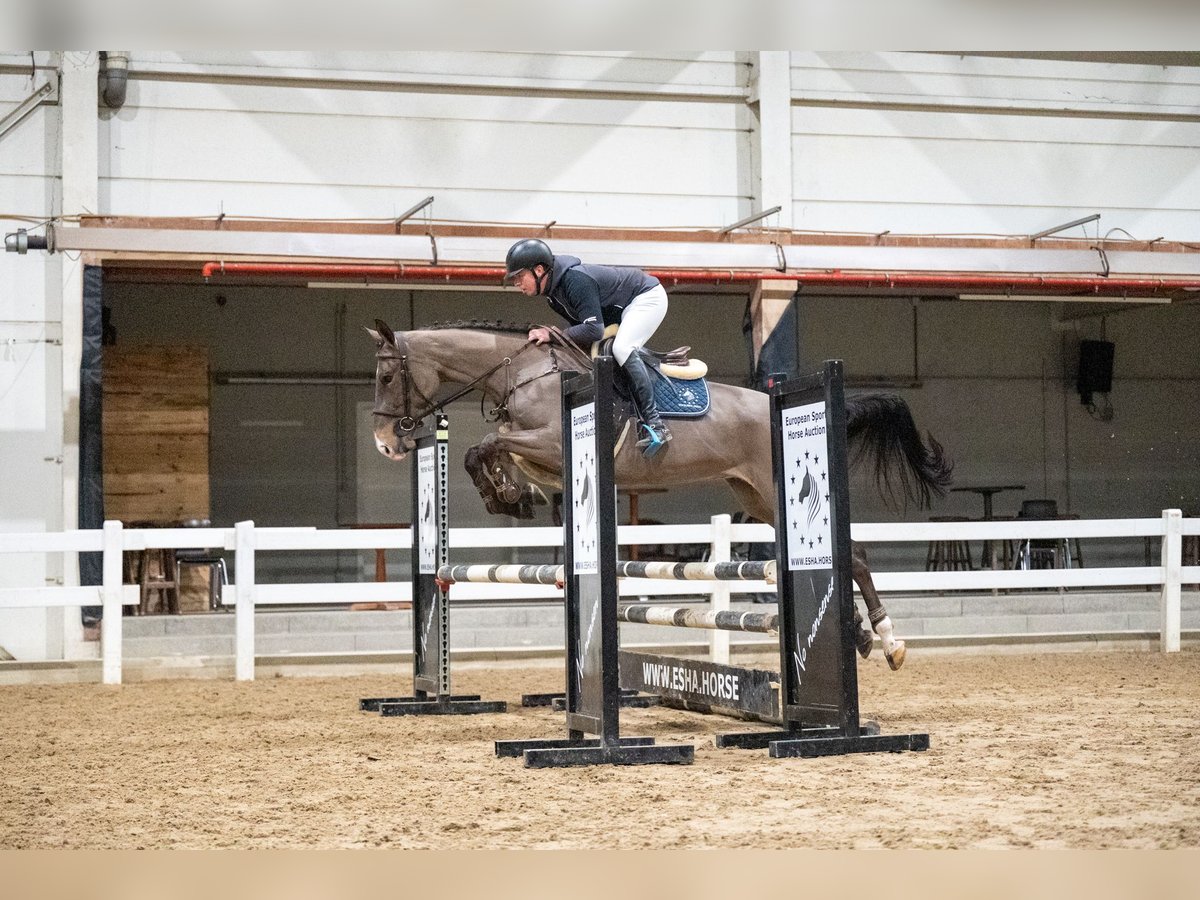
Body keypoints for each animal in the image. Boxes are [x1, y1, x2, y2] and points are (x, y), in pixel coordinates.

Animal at [369, 321, 950, 672]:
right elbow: (485, 452)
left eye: (388, 374)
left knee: (852, 553)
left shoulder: (555, 442)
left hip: (770, 488)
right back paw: (864, 637)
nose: (385, 444)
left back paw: (889, 639)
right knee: (848, 556)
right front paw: (506, 495)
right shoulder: (544, 458)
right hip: (758, 499)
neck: (520, 374)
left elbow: (487, 443)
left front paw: (502, 494)